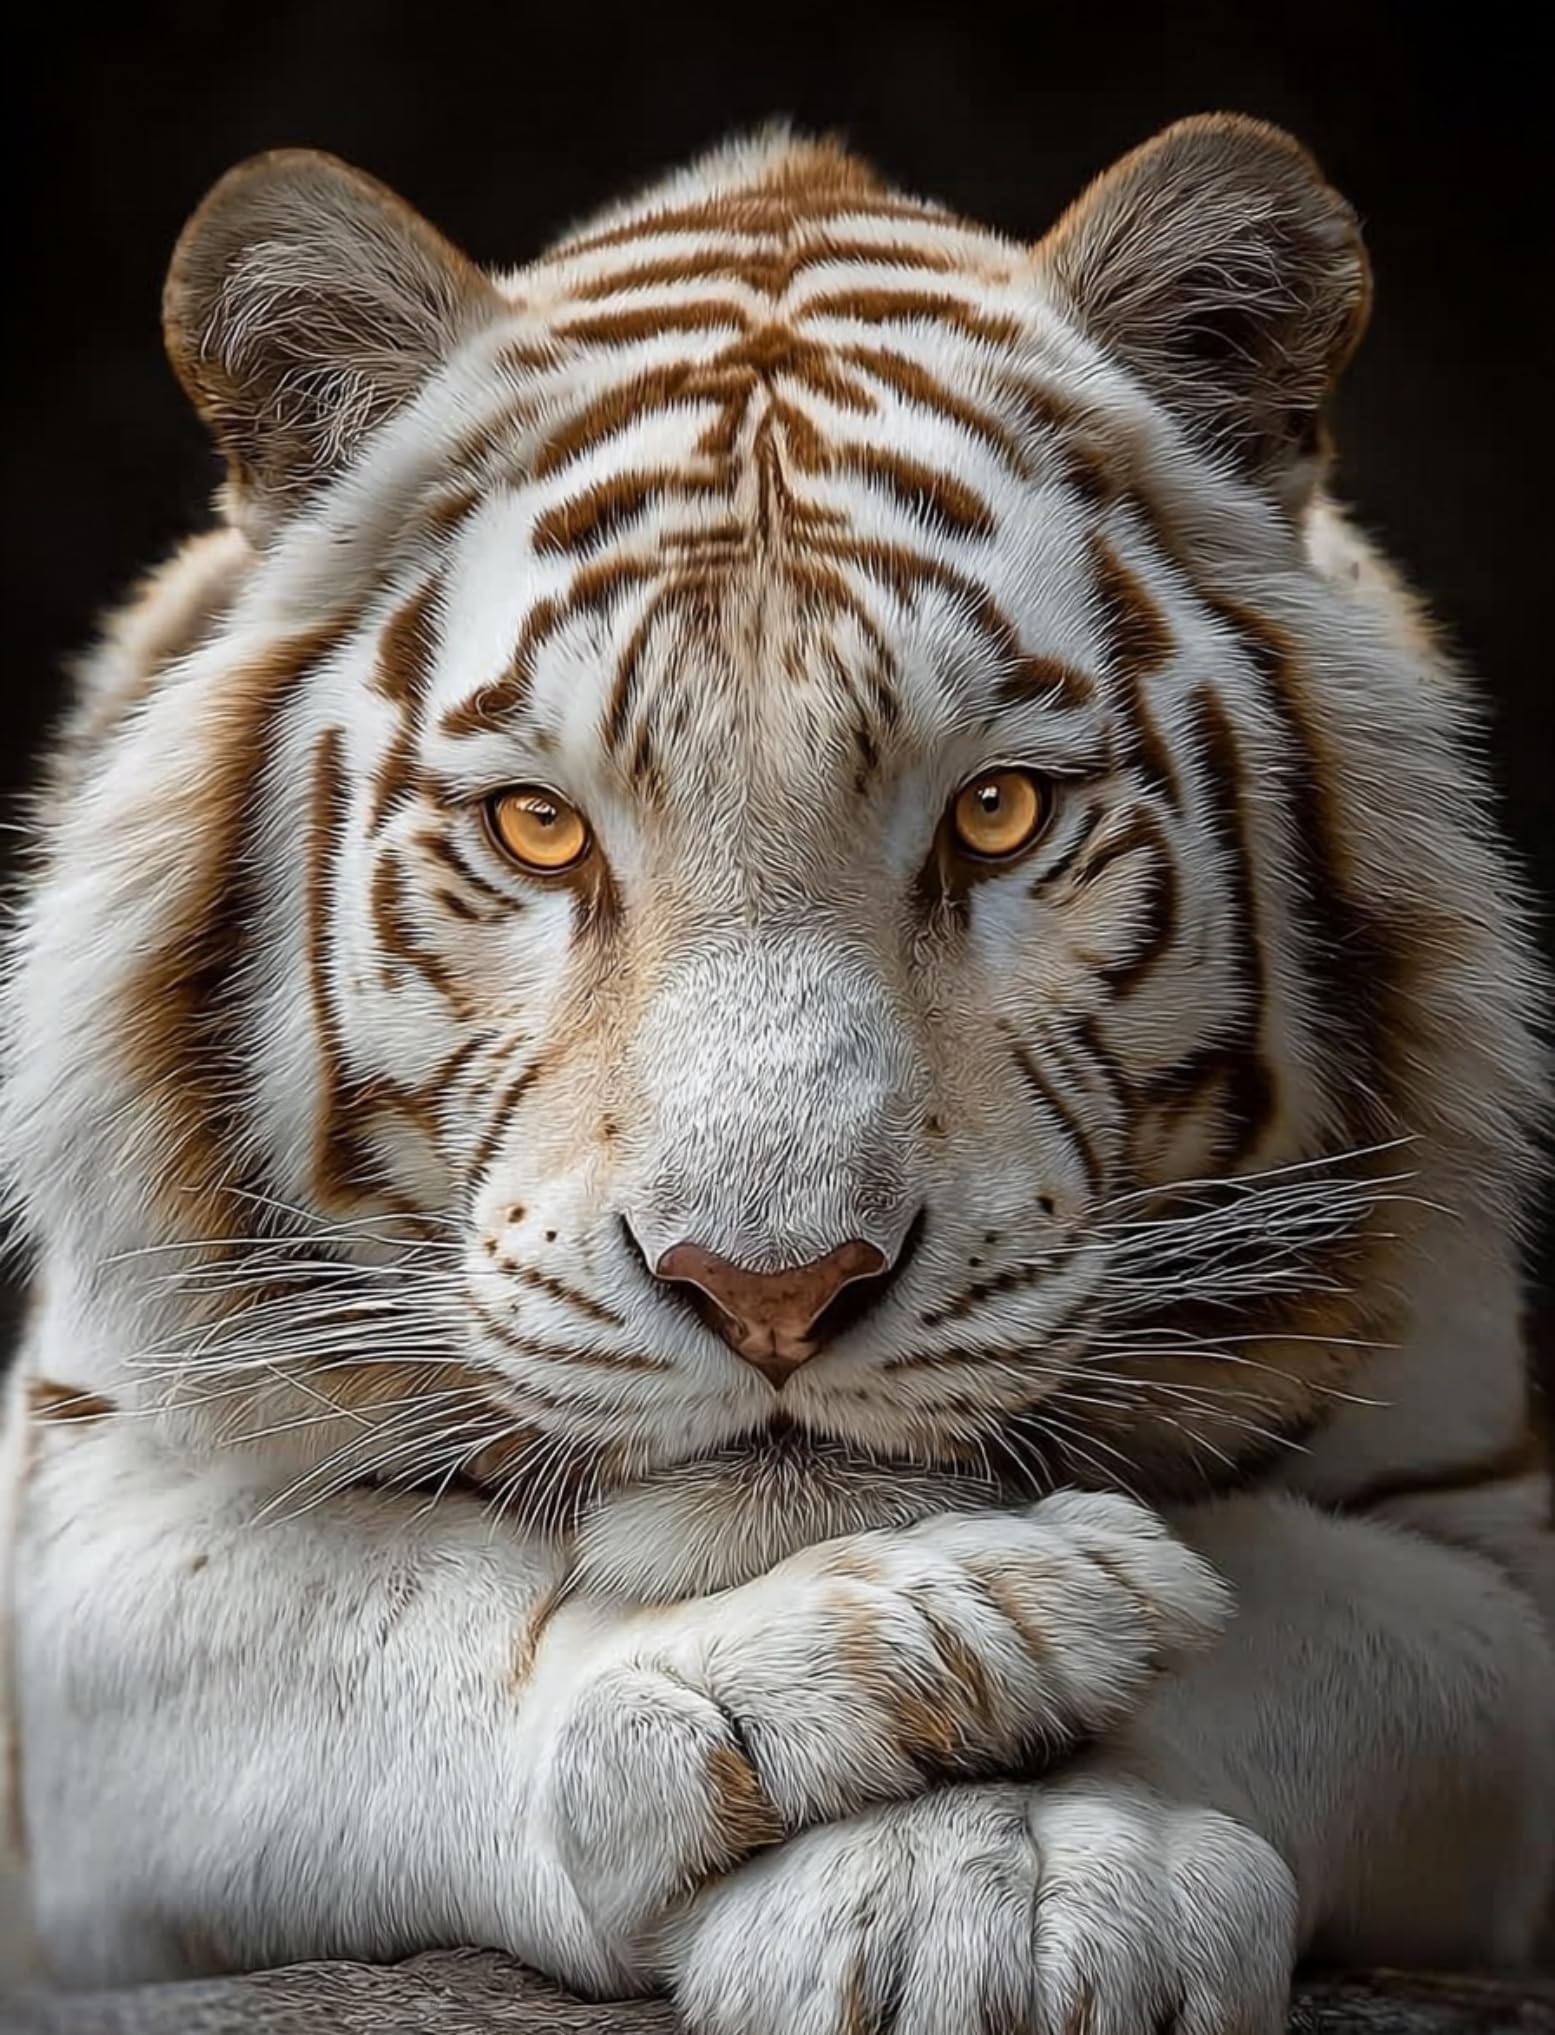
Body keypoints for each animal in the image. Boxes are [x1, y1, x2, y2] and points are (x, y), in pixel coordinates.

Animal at [0, 112, 1550, 2032]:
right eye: (539, 827)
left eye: (998, 811)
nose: (772, 1287)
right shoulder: (84, 1540)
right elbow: (399, 1631)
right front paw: (952, 1646)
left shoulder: (1490, 1546)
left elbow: (1297, 1610)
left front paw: (1013, 1882)